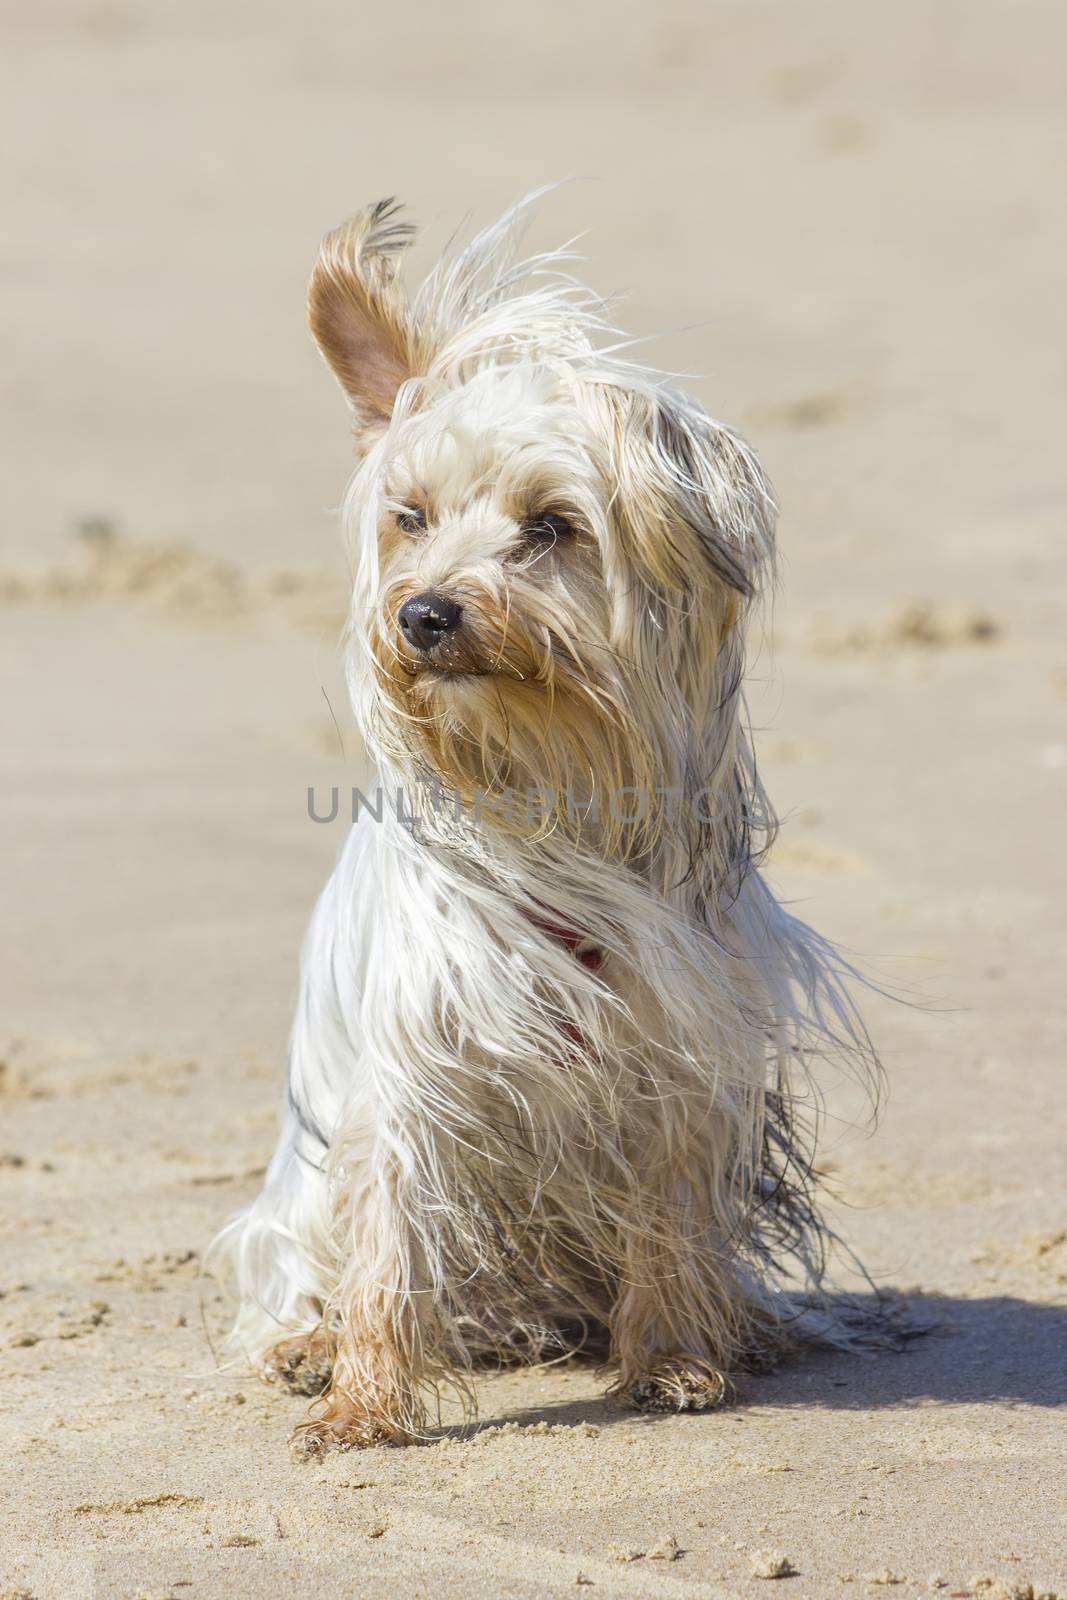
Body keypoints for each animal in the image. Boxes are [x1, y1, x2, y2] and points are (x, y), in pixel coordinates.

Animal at [212, 193, 883, 1459]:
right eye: (409, 519)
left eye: (551, 526)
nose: (424, 614)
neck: (545, 774)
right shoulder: (413, 1065)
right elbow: (389, 1236)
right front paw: (362, 1406)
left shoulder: (680, 1053)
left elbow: (669, 1212)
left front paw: (671, 1360)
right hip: (303, 1196)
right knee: (311, 1262)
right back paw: (308, 1344)